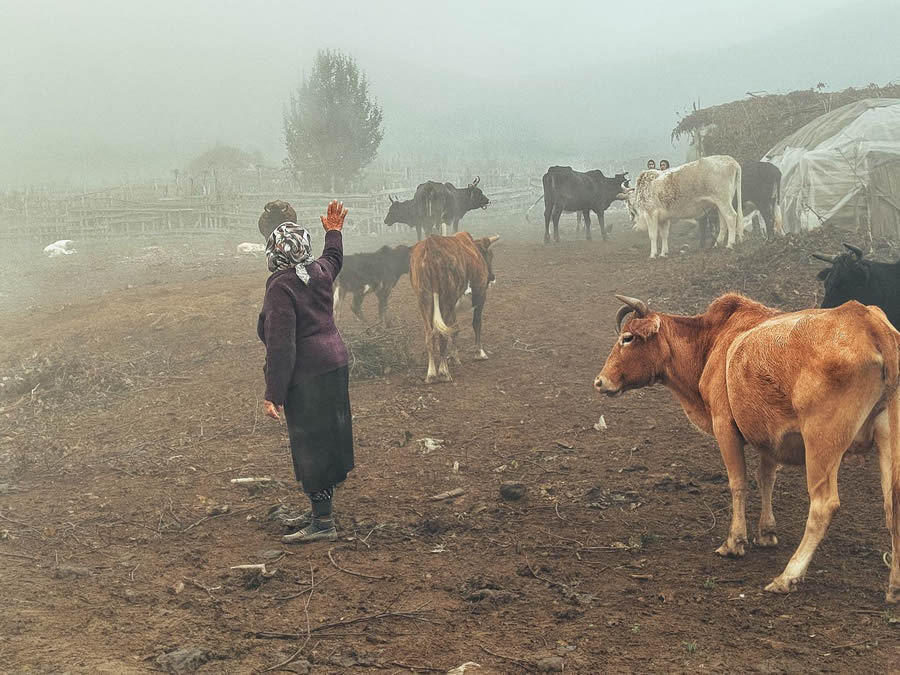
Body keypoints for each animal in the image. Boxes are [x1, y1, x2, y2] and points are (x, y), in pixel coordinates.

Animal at [408, 232, 500, 382]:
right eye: (490, 255)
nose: (492, 278)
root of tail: (430, 246)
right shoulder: (481, 297)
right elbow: (476, 324)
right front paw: (479, 353)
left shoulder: (452, 307)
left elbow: (454, 329)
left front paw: (453, 357)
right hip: (446, 299)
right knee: (442, 335)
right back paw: (443, 372)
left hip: (424, 300)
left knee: (430, 334)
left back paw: (431, 373)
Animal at [596, 294, 900, 600]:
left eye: (627, 338)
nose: (599, 381)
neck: (714, 339)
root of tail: (870, 323)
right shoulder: (770, 436)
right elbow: (766, 478)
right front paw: (766, 532)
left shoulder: (725, 426)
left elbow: (738, 482)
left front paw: (735, 541)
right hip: (889, 438)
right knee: (893, 504)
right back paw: (894, 586)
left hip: (821, 441)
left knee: (823, 505)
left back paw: (788, 575)